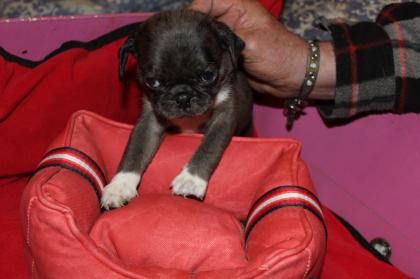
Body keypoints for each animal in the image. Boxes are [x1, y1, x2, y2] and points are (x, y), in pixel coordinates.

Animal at [101, 9, 253, 210]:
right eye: (153, 82)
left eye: (207, 75)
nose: (182, 97)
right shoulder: (150, 121)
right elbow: (135, 149)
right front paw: (120, 185)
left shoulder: (224, 117)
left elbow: (210, 145)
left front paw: (191, 179)